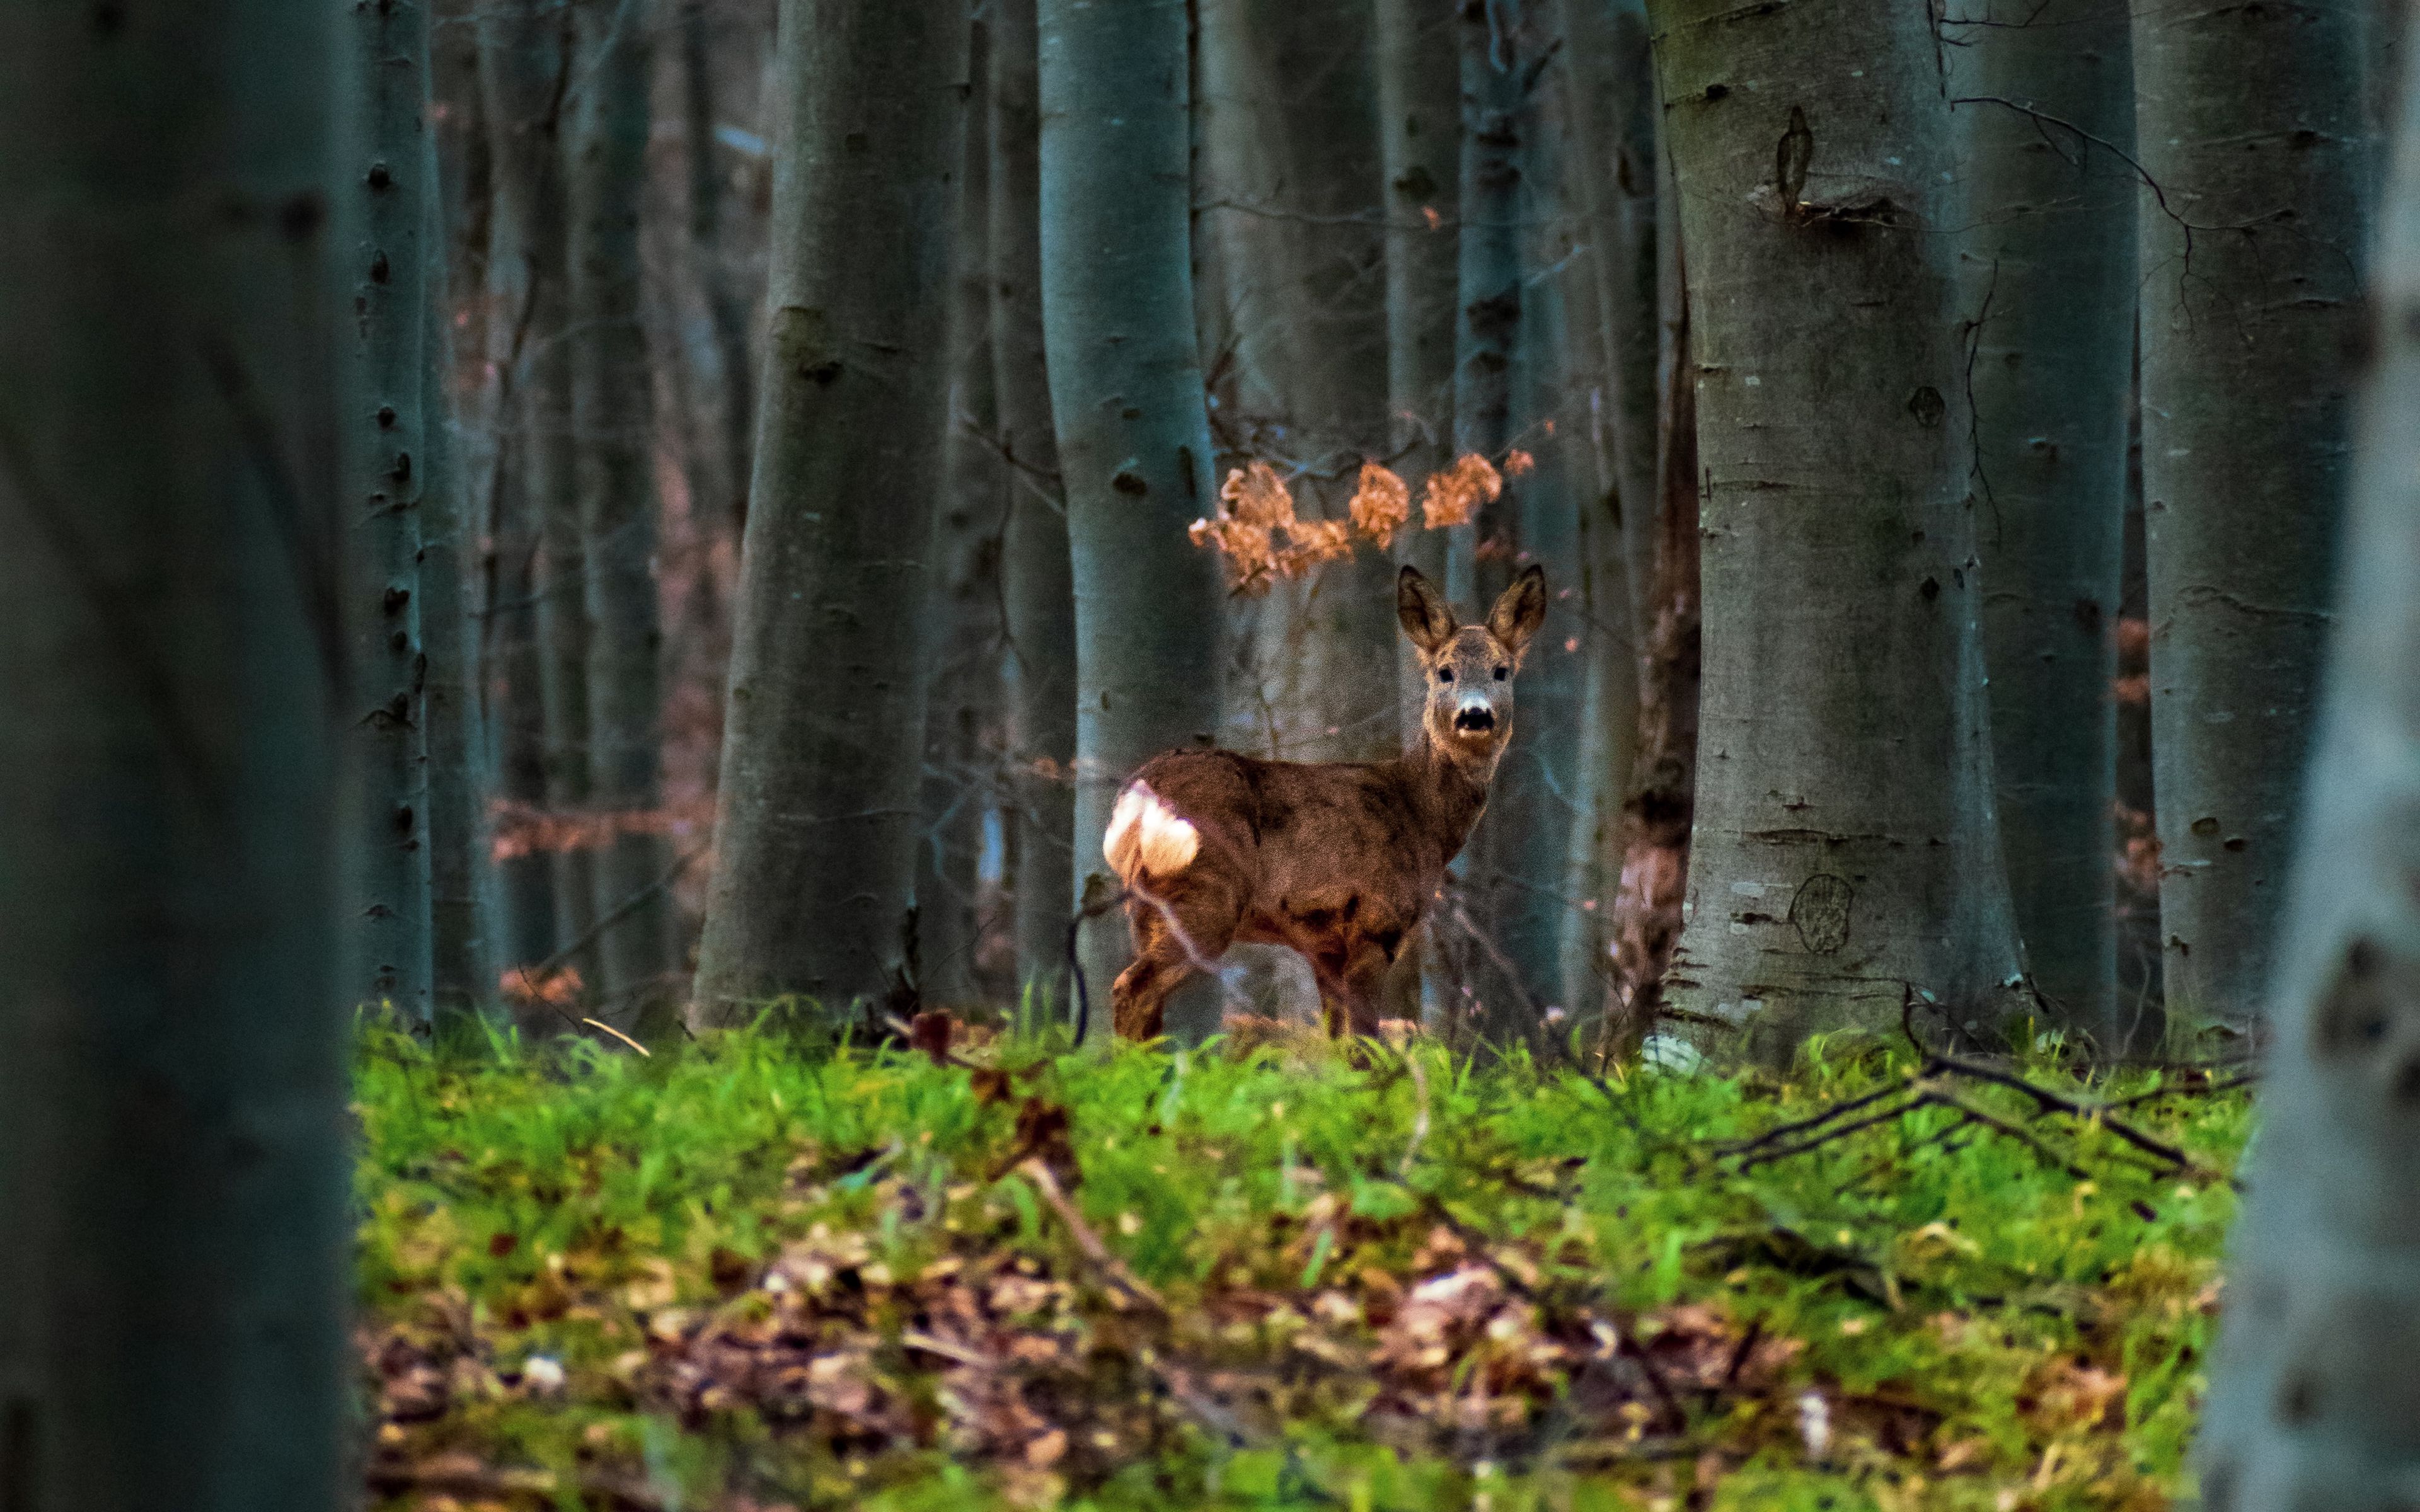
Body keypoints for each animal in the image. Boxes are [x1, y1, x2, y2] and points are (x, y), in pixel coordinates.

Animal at [1103, 561, 1548, 1045]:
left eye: (1501, 671)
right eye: (1445, 672)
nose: (1475, 715)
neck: (1421, 816)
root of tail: (1136, 798)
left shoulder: (1325, 947)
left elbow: (1338, 1043)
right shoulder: (1375, 925)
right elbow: (1366, 1043)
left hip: (1144, 908)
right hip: (1205, 892)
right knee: (1132, 989)